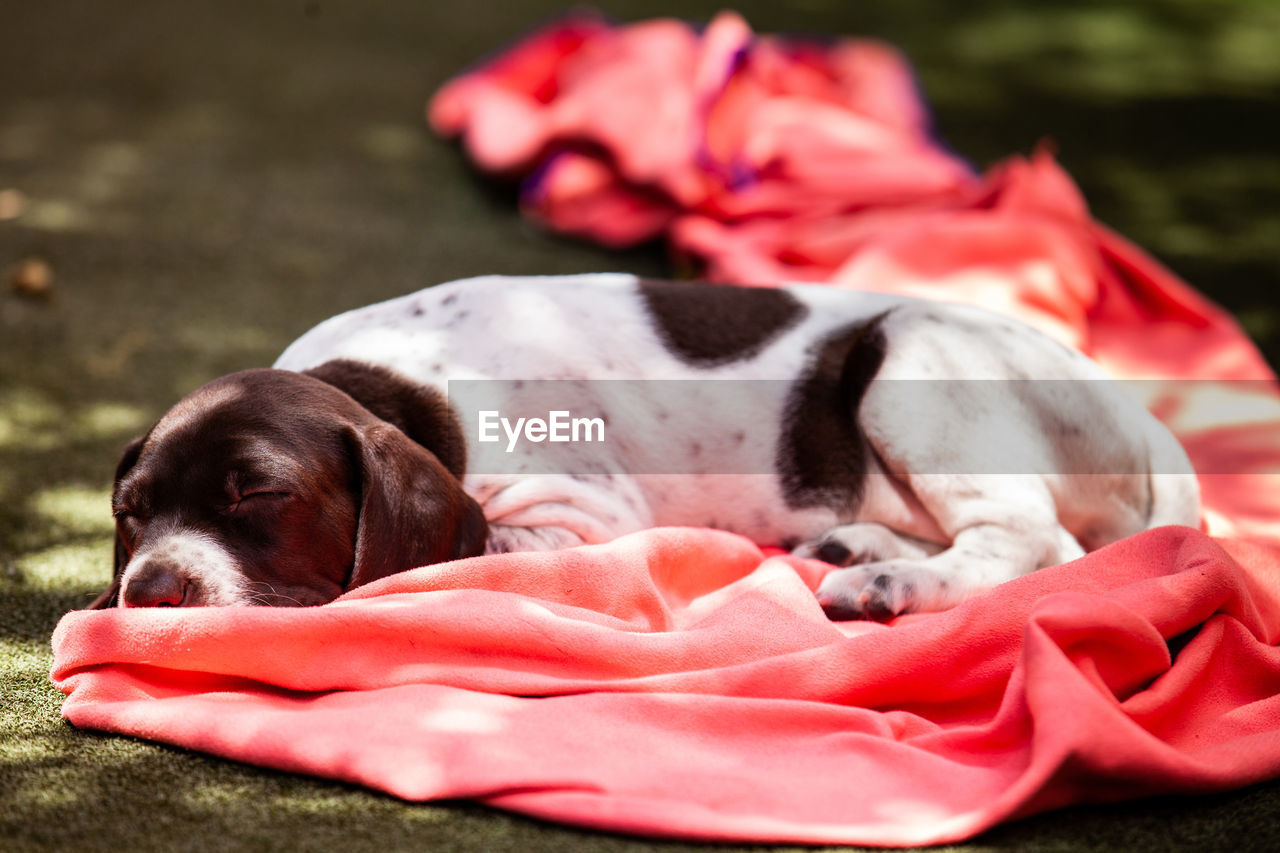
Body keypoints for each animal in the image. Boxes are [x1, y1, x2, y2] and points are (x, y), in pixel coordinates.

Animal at [92, 275, 1198, 614]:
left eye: (257, 495)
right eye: (129, 517)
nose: (150, 589)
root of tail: (1143, 419)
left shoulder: (577, 512)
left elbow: (488, 541)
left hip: (911, 360)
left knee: (1036, 542)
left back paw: (891, 583)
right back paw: (860, 546)